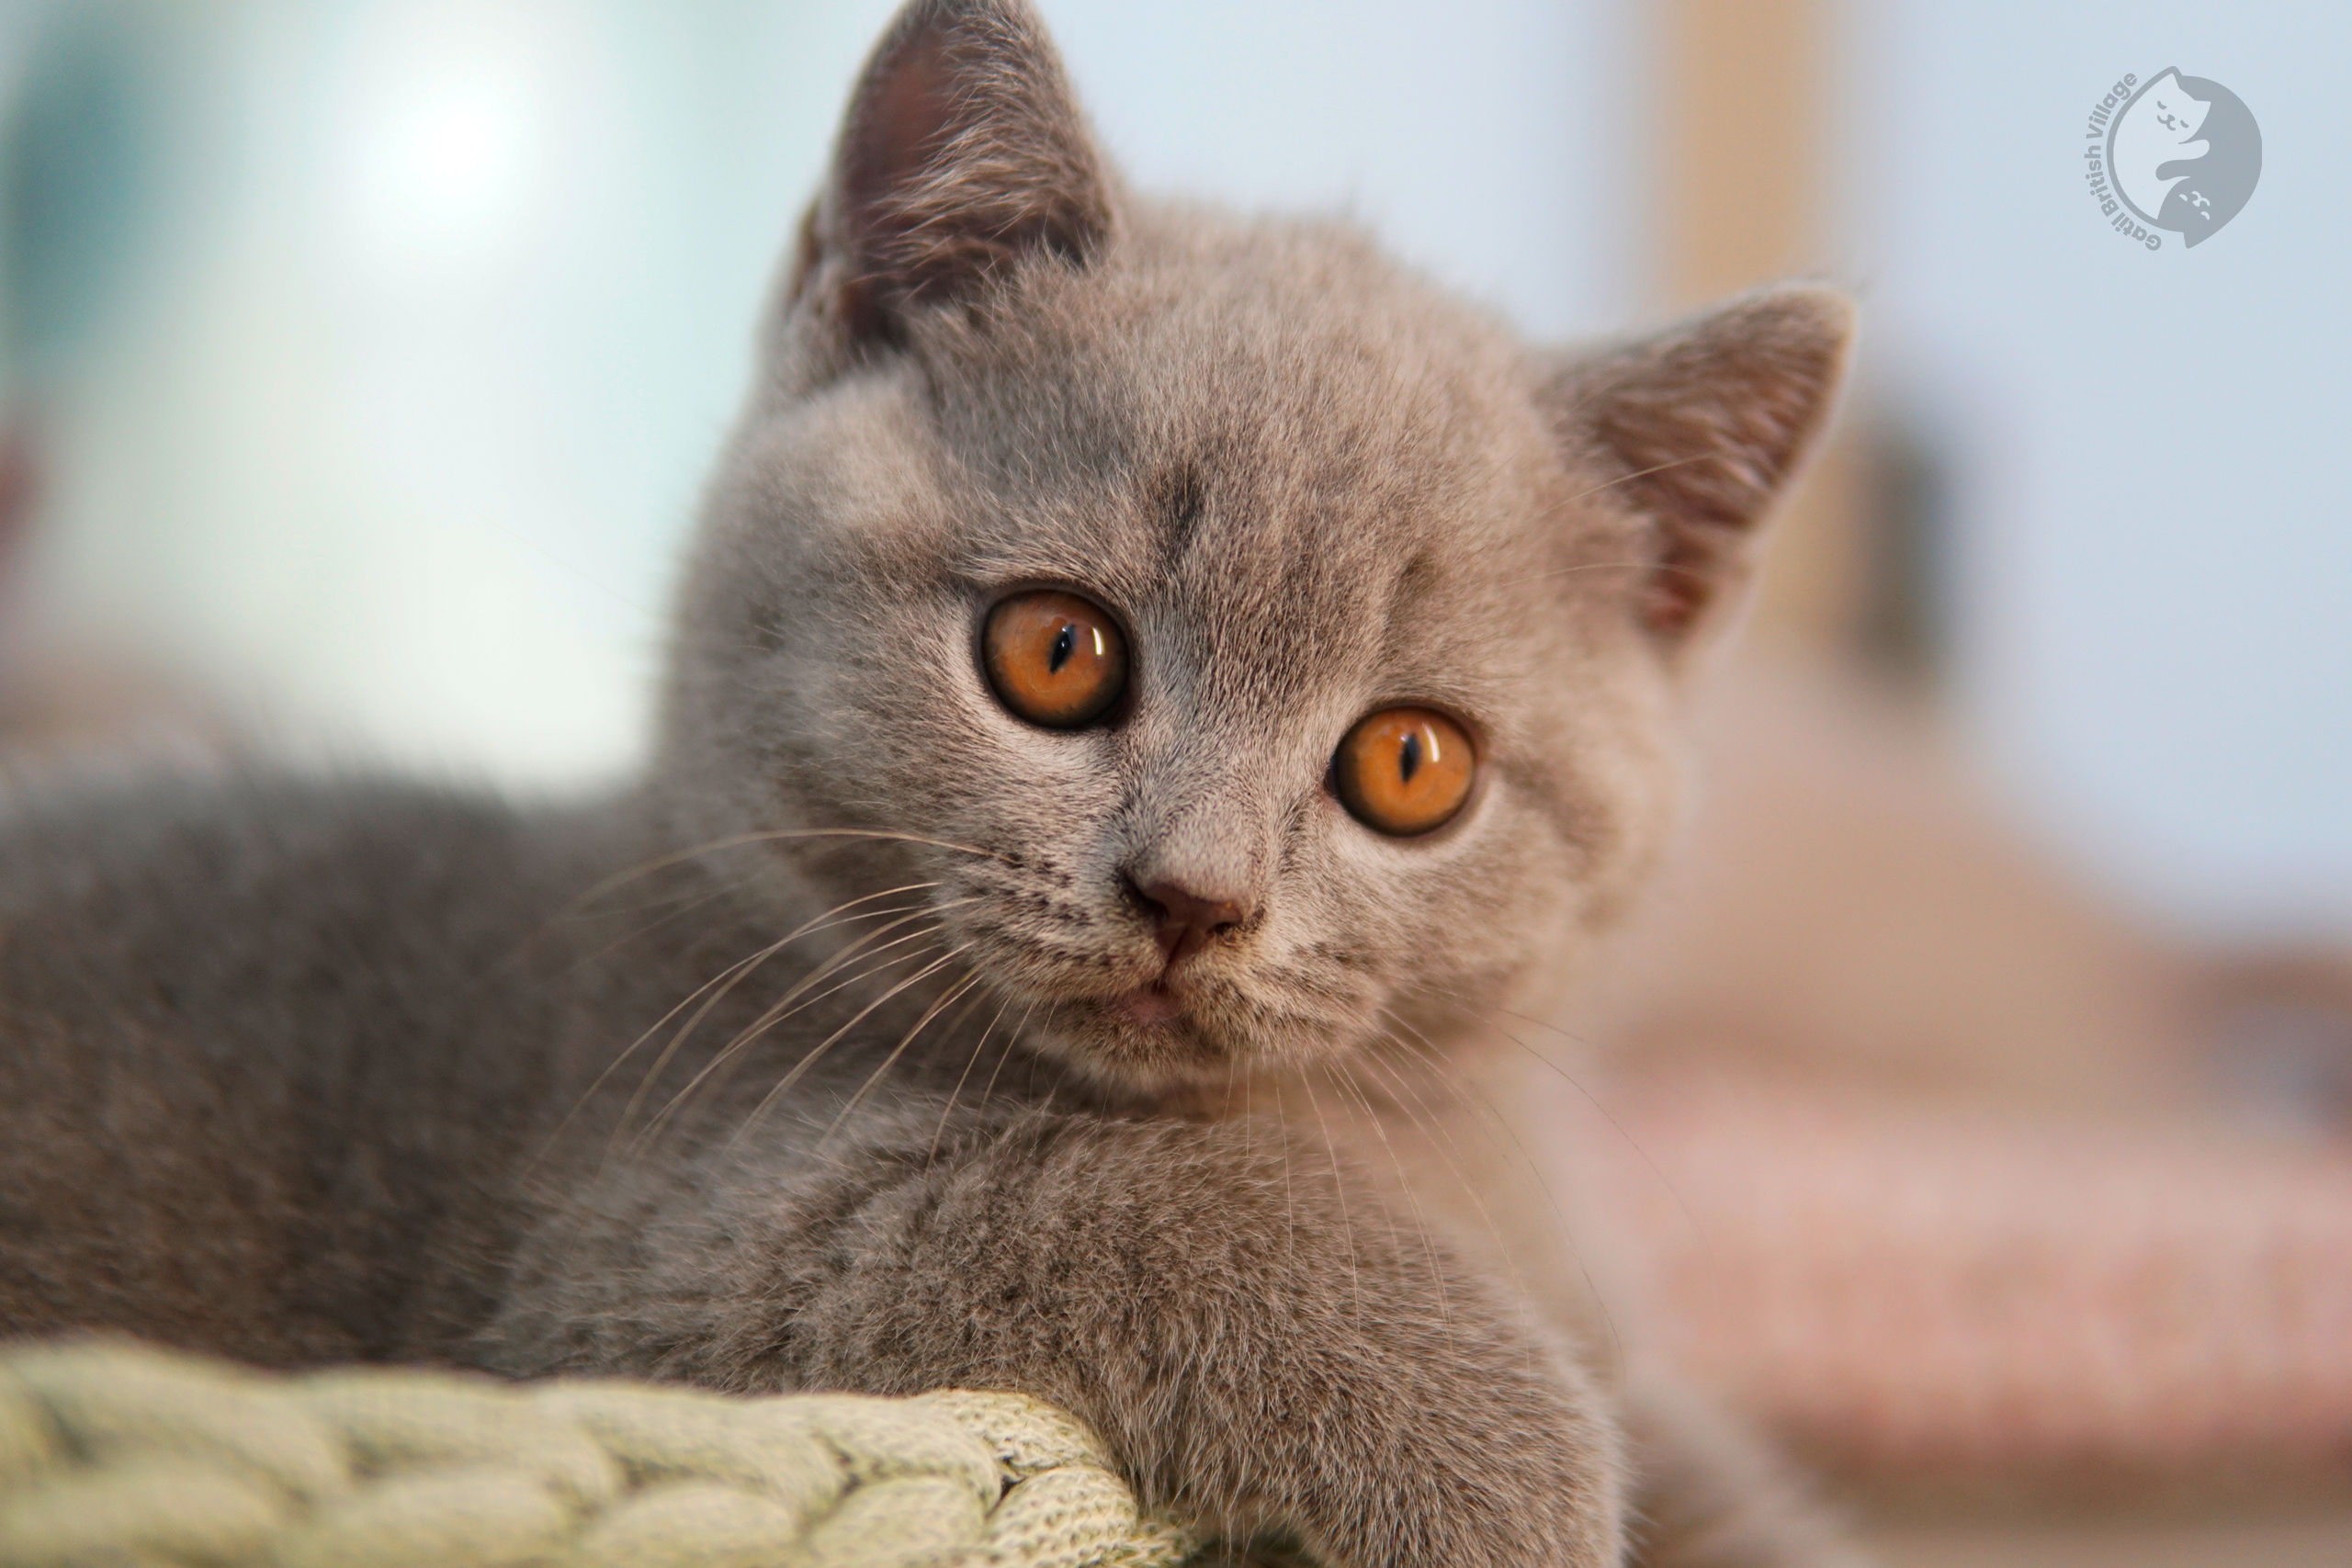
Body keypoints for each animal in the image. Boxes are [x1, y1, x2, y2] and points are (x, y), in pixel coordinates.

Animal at [9, 3, 1862, 1568]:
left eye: (1411, 765)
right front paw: (1511, 1475)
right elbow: (1116, 1195)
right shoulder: (607, 1273)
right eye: (1055, 650)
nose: (1195, 895)